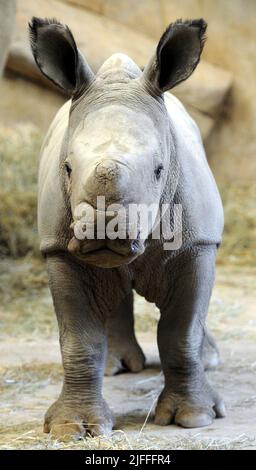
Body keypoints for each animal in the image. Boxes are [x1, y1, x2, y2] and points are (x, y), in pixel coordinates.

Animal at [29, 17, 225, 436]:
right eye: (67, 168)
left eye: (159, 170)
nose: (105, 228)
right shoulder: (59, 249)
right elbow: (77, 341)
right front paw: (73, 427)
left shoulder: (197, 243)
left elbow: (181, 334)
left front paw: (194, 418)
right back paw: (116, 367)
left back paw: (209, 361)